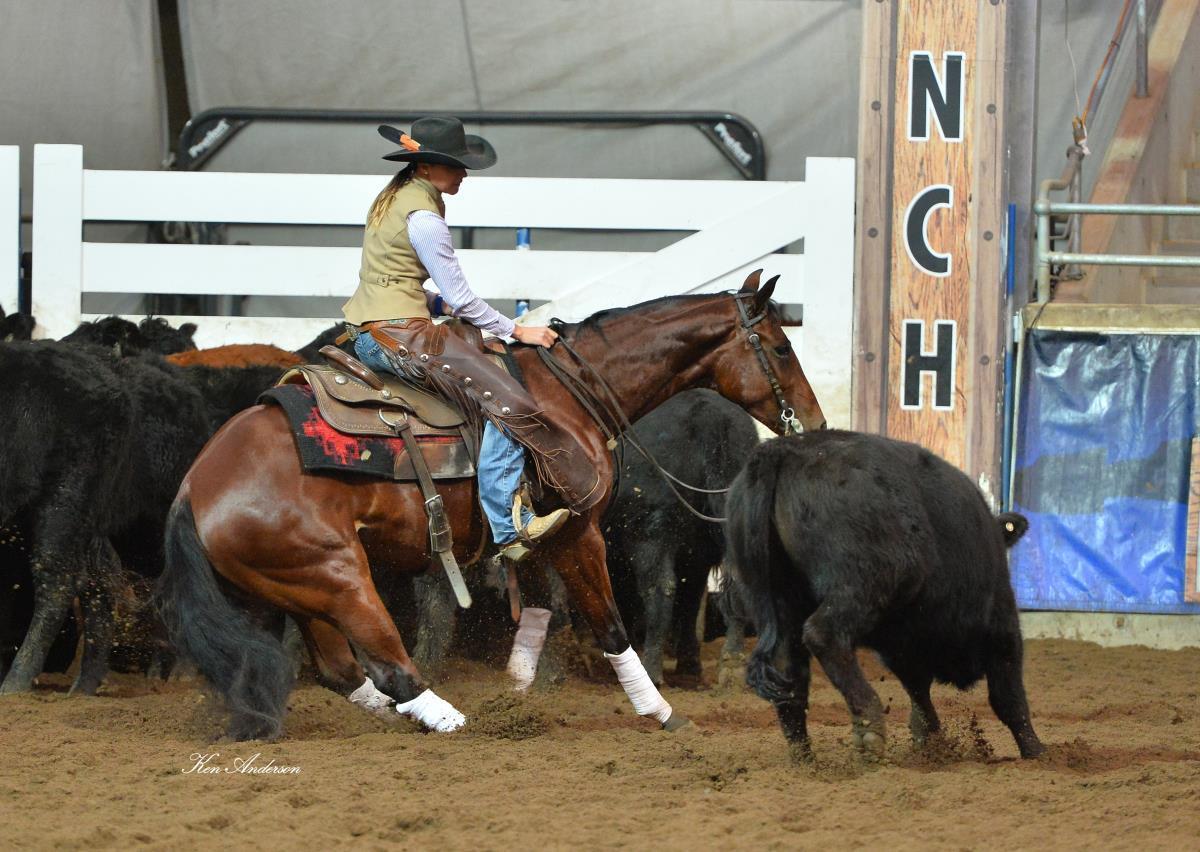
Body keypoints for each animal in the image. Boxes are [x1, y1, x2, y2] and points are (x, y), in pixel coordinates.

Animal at [157, 271, 826, 740]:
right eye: (780, 348)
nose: (813, 423)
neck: (567, 395)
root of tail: (194, 486)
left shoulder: (544, 545)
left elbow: (549, 613)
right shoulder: (579, 533)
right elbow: (610, 626)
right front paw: (661, 712)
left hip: (297, 589)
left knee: (344, 672)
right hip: (337, 576)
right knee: (389, 668)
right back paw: (450, 721)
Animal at [724, 430, 1044, 760]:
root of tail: (781, 449)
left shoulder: (903, 648)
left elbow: (919, 694)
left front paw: (930, 741)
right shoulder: (1002, 625)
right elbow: (1008, 697)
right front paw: (1036, 750)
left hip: (777, 601)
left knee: (788, 672)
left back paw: (805, 758)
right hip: (865, 585)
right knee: (823, 634)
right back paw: (868, 724)